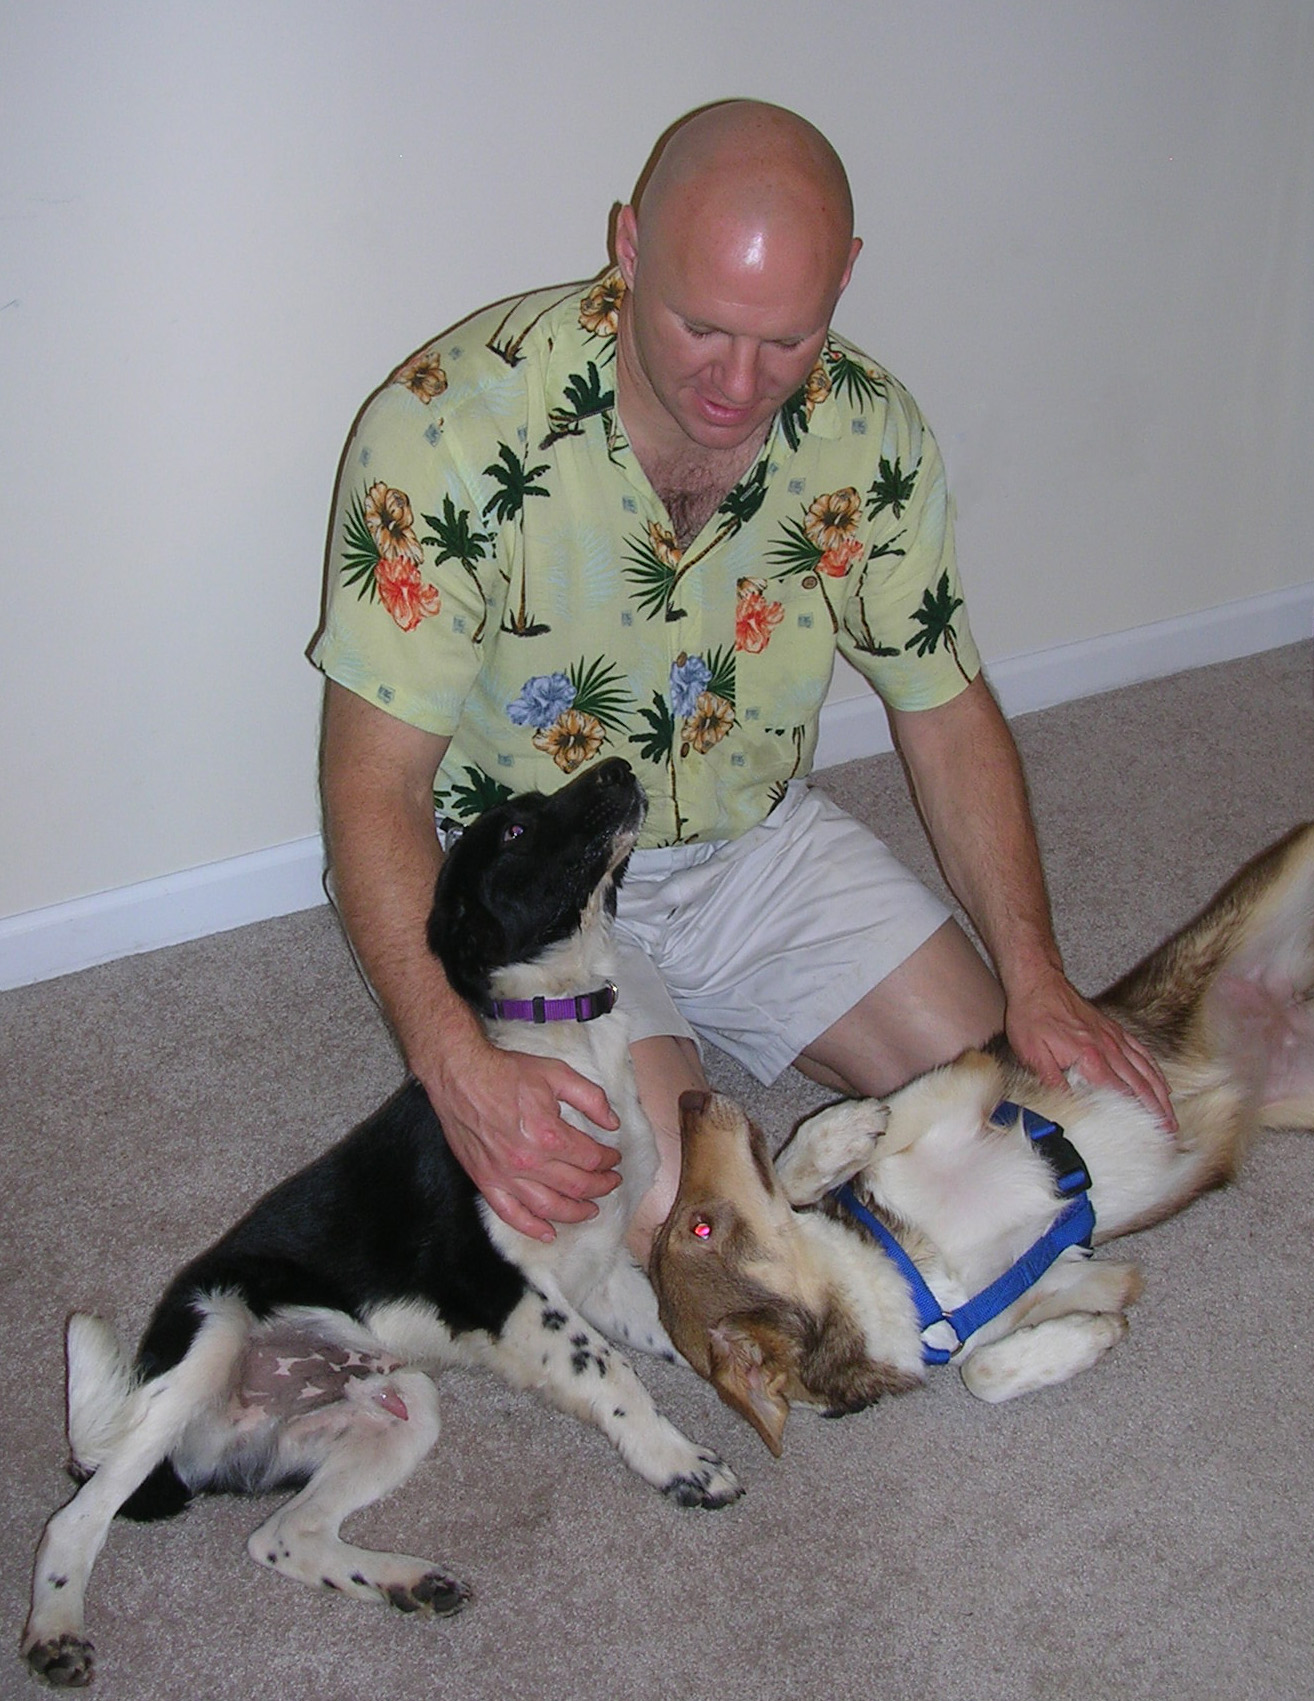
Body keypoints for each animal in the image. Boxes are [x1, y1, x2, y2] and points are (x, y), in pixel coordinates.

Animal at [23, 758, 738, 1687]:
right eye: (514, 827)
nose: (618, 766)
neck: (562, 1036)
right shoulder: (505, 1287)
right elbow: (615, 1373)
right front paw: (680, 1462)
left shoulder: (600, 1270)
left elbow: (677, 1319)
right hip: (209, 1332)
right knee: (78, 1514)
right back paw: (55, 1630)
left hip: (398, 1405)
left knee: (280, 1536)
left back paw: (410, 1582)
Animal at [650, 819, 1314, 1449]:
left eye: (697, 1226)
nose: (689, 1099)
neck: (913, 1282)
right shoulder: (1078, 1281)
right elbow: (985, 1372)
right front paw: (1090, 1338)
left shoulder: (966, 1083)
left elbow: (823, 1154)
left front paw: (845, 1131)